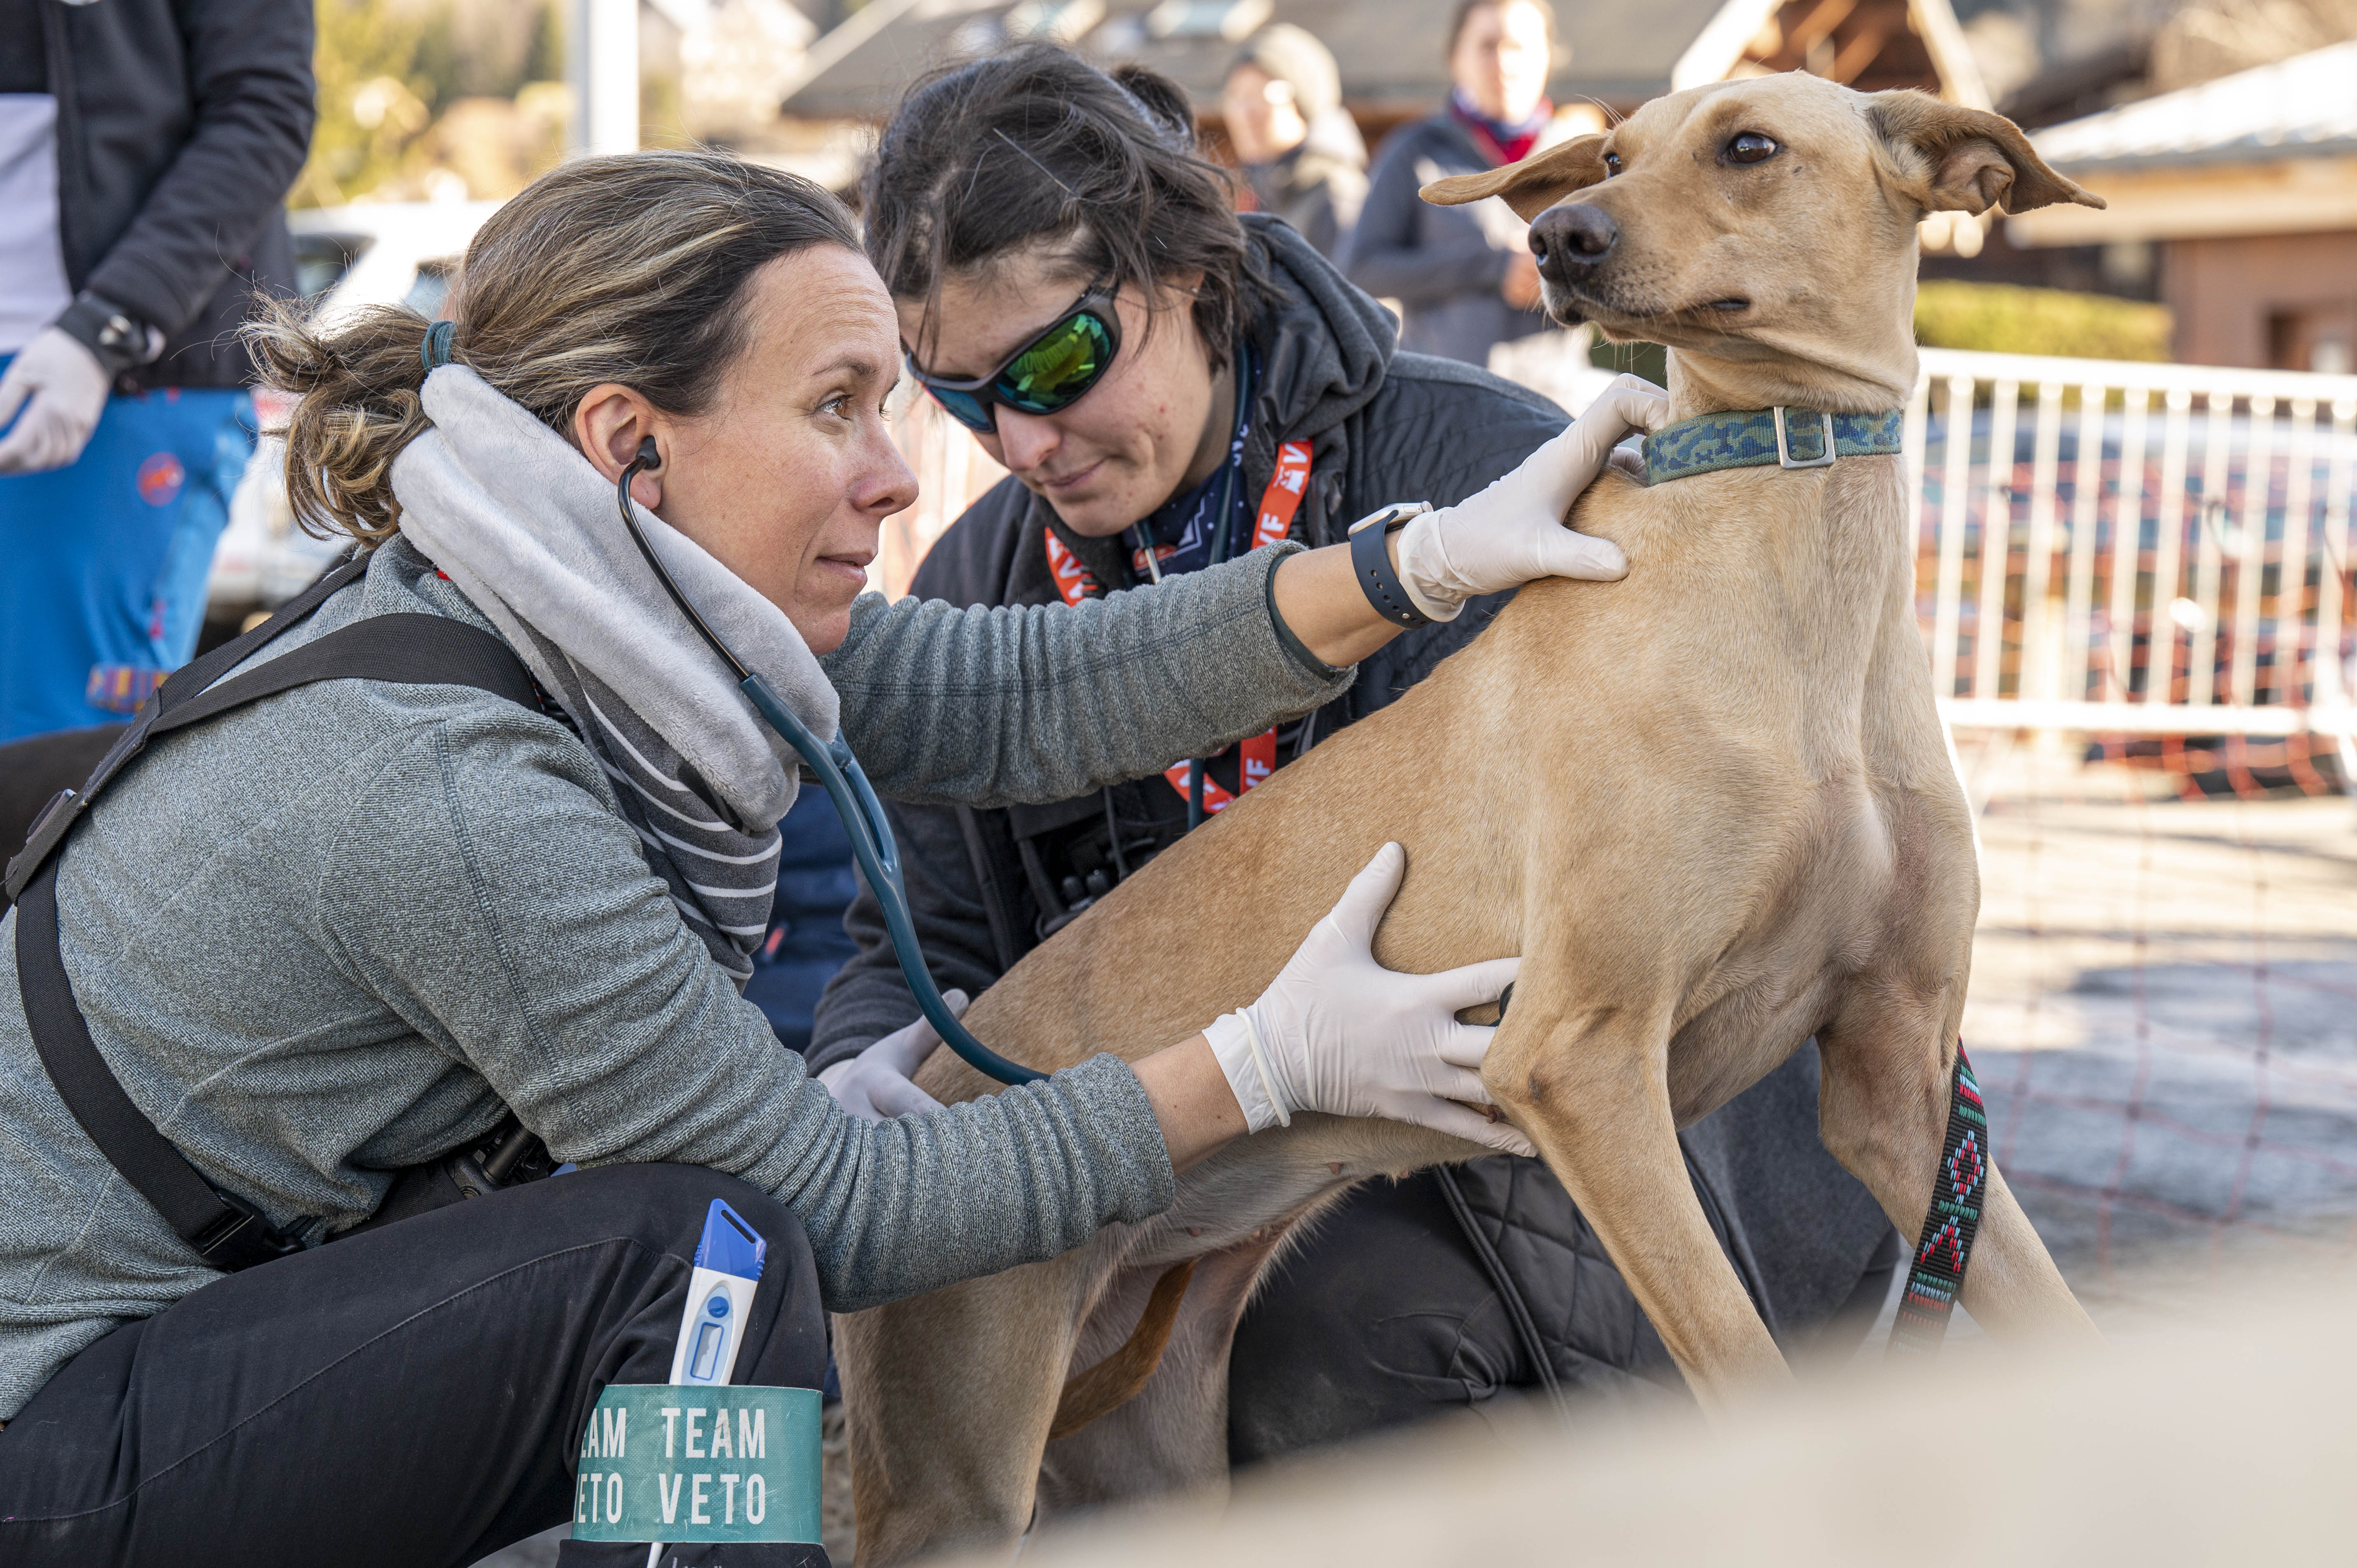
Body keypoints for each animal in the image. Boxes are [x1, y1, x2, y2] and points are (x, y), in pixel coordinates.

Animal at [839, 73, 2112, 1556]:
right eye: (1609, 153)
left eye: (1747, 145)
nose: (1558, 235)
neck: (1788, 545)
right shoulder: (1581, 1060)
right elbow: (1747, 1371)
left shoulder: (1897, 1091)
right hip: (957, 1471)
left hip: (1145, 1456)